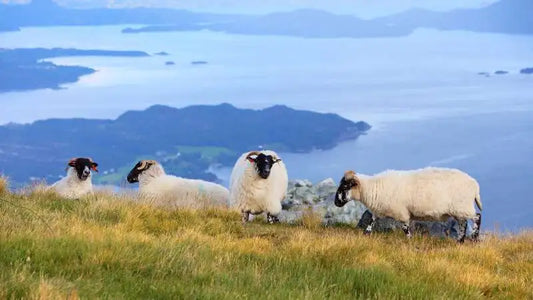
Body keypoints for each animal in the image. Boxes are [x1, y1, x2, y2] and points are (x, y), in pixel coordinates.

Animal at [336, 168, 482, 243]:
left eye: (345, 186)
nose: (336, 203)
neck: (372, 187)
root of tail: (475, 184)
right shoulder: (379, 210)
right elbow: (371, 220)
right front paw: (366, 234)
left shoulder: (402, 212)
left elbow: (405, 228)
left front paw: (409, 240)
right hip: (459, 210)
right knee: (463, 224)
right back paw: (460, 241)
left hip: (463, 207)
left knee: (477, 217)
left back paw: (474, 238)